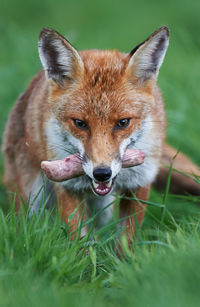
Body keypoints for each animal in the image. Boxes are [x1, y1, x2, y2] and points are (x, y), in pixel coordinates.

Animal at [1, 26, 200, 242]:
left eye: (123, 122)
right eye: (80, 123)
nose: (102, 173)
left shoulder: (140, 181)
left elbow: (126, 241)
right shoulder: (68, 187)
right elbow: (78, 240)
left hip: (102, 211)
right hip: (30, 200)